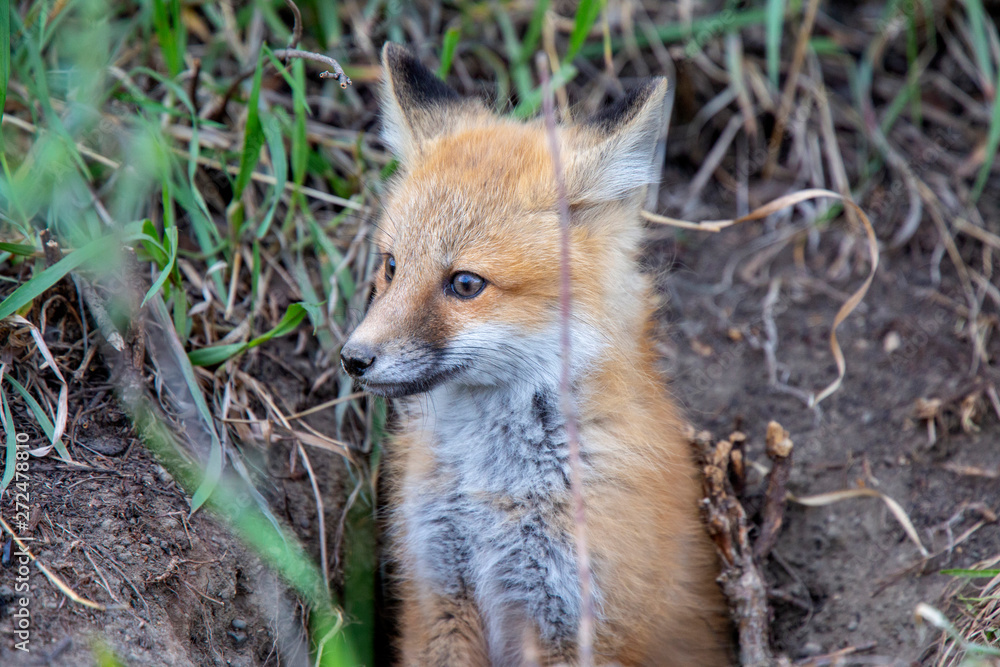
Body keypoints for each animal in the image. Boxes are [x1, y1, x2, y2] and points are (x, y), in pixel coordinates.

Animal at [340, 43, 732, 666]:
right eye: (392, 266)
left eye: (466, 284)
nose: (353, 358)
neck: (488, 485)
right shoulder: (438, 595)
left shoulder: (572, 622)